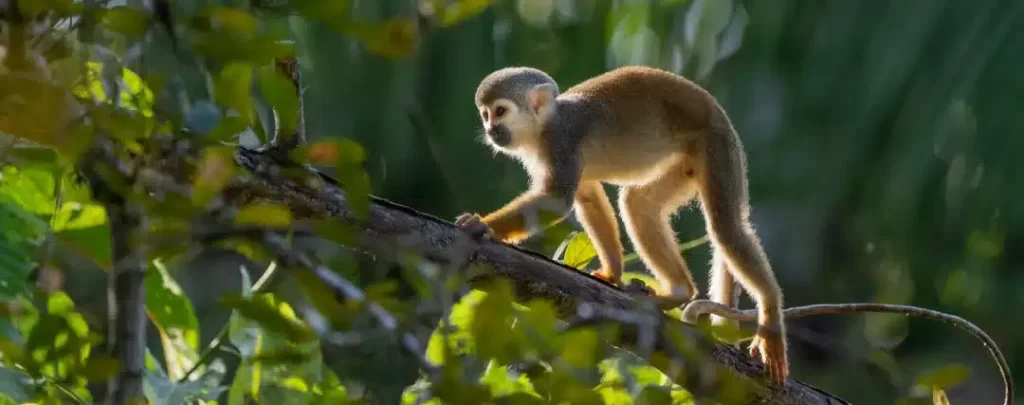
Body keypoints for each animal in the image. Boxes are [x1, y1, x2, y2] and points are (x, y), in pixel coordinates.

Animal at [453, 65, 789, 384]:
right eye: (485, 114)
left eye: (500, 111)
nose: (491, 129)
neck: (545, 125)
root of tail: (721, 116)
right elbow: (588, 196)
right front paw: (612, 272)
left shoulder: (563, 143)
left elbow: (555, 201)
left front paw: (482, 225)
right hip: (688, 160)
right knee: (638, 205)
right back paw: (679, 292)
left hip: (715, 146)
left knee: (725, 228)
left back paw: (769, 314)